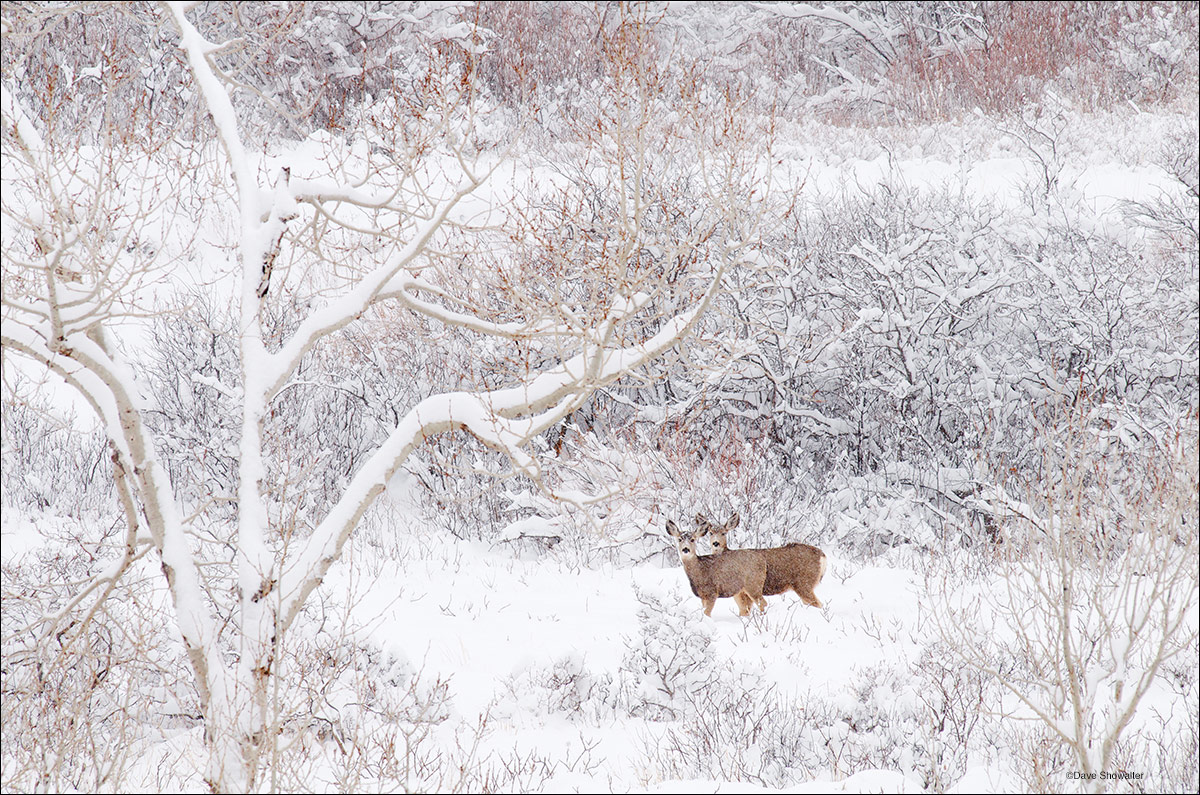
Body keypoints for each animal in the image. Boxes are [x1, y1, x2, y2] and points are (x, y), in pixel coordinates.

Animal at [700, 516, 830, 610]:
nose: (715, 543)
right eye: (710, 532)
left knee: (819, 604)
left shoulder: (742, 592)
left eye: (724, 533)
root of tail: (823, 556)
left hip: (803, 583)